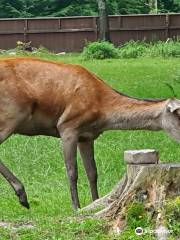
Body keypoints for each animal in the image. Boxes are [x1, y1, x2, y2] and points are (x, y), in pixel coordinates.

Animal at [0, 57, 180, 209]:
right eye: (179, 118)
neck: (101, 110)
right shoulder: (67, 127)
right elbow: (72, 171)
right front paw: (76, 208)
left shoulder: (86, 136)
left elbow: (92, 172)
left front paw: (95, 201)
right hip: (13, 114)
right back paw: (22, 195)